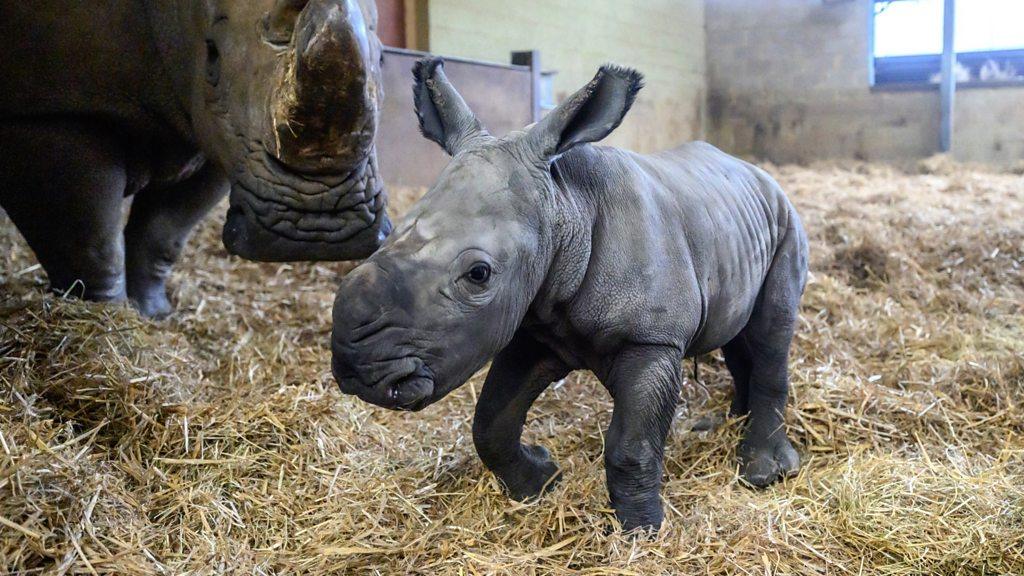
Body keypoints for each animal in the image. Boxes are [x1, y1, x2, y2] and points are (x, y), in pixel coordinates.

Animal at [0, 0, 389, 315]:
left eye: (383, 59)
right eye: (212, 56)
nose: (315, 231)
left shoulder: (219, 139)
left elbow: (164, 233)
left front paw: (153, 315)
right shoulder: (50, 112)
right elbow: (92, 248)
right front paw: (105, 319)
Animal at [333, 58, 806, 528]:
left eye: (479, 274)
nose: (354, 365)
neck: (566, 207)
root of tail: (759, 173)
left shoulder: (653, 338)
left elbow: (630, 446)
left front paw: (642, 530)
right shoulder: (537, 328)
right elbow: (491, 421)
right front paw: (540, 482)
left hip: (786, 220)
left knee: (772, 332)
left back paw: (763, 472)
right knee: (738, 333)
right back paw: (729, 421)